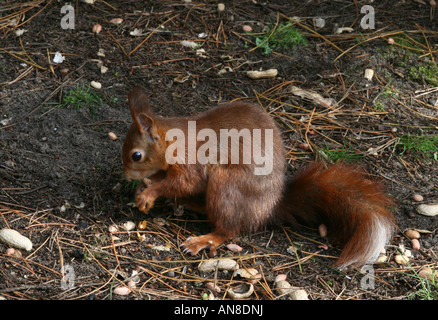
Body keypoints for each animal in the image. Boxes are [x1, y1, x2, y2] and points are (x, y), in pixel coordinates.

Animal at [121, 86, 396, 268]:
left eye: (136, 155)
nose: (126, 175)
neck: (173, 140)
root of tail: (268, 209)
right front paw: (144, 187)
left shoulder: (193, 160)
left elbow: (184, 182)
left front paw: (148, 193)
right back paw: (188, 204)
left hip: (226, 186)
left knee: (229, 229)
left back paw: (203, 239)